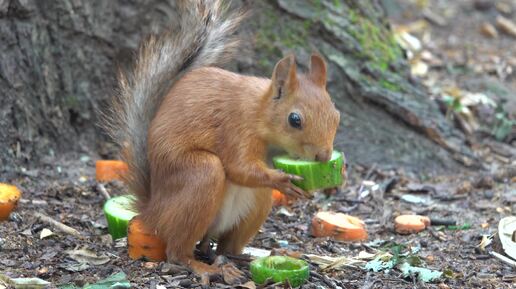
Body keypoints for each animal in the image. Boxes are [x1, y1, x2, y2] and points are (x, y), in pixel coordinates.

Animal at [103, 0, 340, 280]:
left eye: (336, 115)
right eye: (295, 120)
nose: (324, 156)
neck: (259, 111)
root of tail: (153, 209)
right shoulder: (236, 128)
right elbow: (239, 167)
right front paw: (282, 180)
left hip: (257, 203)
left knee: (227, 247)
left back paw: (255, 257)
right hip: (201, 176)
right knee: (178, 251)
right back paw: (203, 266)